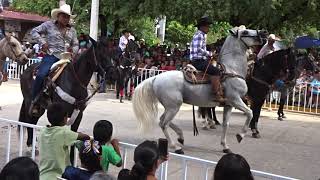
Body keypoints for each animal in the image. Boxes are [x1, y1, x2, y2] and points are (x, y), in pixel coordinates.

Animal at [132, 27, 268, 153]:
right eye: (245, 32)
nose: (264, 32)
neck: (232, 70)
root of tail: (155, 78)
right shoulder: (235, 100)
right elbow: (250, 113)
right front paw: (240, 135)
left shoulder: (228, 105)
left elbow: (226, 124)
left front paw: (225, 146)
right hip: (174, 106)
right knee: (163, 123)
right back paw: (176, 147)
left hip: (171, 107)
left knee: (162, 120)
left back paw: (181, 137)